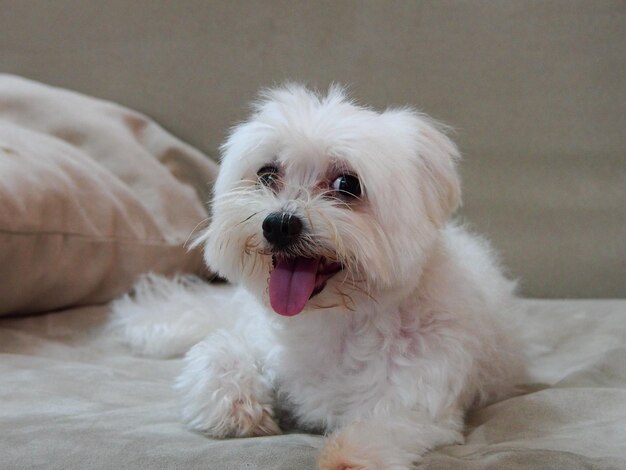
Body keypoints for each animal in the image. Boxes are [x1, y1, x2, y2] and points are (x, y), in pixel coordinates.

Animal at [111, 85, 520, 470]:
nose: (278, 224)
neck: (334, 321)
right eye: (267, 175)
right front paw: (238, 409)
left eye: (348, 185)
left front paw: (348, 457)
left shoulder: (420, 391)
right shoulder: (258, 340)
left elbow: (386, 423)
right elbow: (218, 355)